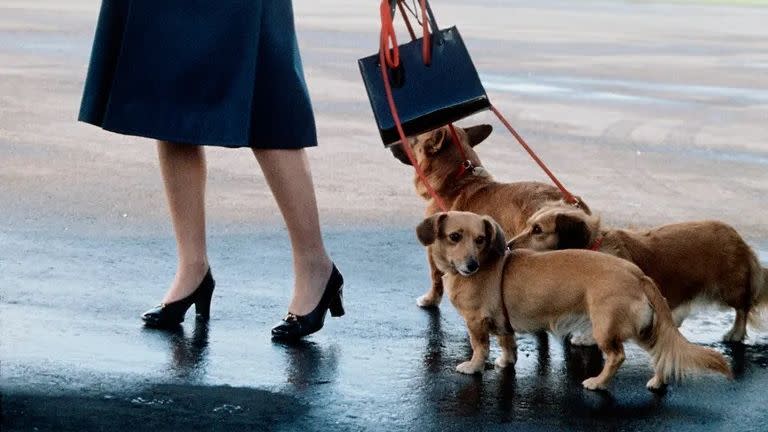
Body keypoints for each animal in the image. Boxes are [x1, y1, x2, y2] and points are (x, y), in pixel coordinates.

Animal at [390, 125, 588, 308]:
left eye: (412, 139)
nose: (391, 144)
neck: (458, 180)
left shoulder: (435, 251)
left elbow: (436, 277)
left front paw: (430, 300)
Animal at [420, 212, 732, 392]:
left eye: (481, 239)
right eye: (455, 237)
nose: (471, 266)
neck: (487, 264)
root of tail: (638, 274)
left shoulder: (475, 322)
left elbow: (479, 347)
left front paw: (473, 367)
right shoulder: (503, 324)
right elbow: (508, 345)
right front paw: (506, 362)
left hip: (605, 328)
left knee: (617, 357)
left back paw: (597, 383)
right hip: (644, 330)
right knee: (661, 355)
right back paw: (657, 382)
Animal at [508, 204, 764, 342]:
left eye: (537, 230)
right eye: (529, 225)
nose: (509, 245)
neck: (593, 248)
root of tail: (737, 236)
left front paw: (588, 338)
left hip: (729, 289)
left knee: (743, 308)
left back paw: (735, 333)